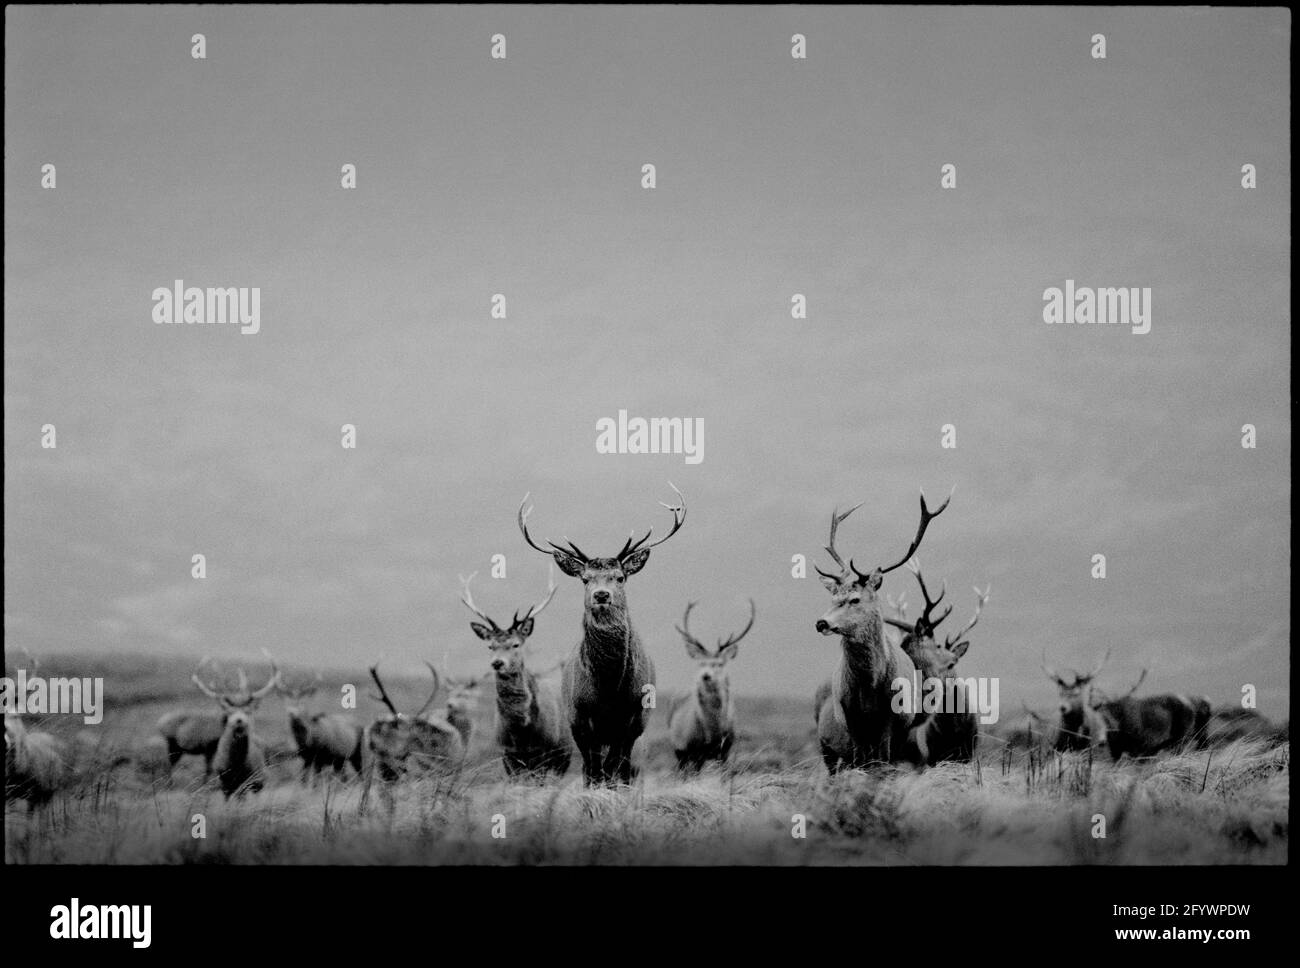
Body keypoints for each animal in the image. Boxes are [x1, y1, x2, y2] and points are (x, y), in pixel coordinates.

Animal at [189, 657, 281, 797]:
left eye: (248, 711)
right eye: (229, 712)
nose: (239, 721)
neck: (236, 767)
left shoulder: (255, 779)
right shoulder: (224, 782)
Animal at [462, 569, 573, 777]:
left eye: (515, 644)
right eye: (490, 646)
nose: (497, 663)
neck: (521, 733)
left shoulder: (545, 752)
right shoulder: (508, 754)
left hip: (565, 752)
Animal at [517, 483, 686, 786]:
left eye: (620, 577)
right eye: (585, 579)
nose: (602, 595)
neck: (609, 690)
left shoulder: (631, 718)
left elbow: (614, 766)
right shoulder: (580, 717)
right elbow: (594, 769)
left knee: (624, 766)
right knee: (590, 767)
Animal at [668, 599, 754, 772]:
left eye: (719, 664)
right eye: (701, 663)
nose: (705, 676)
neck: (713, 734)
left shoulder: (725, 750)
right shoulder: (693, 749)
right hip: (679, 749)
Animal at [813, 488, 952, 771]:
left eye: (855, 599)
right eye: (833, 599)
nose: (821, 623)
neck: (870, 688)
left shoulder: (892, 718)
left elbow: (883, 762)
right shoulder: (850, 716)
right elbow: (861, 761)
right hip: (828, 747)